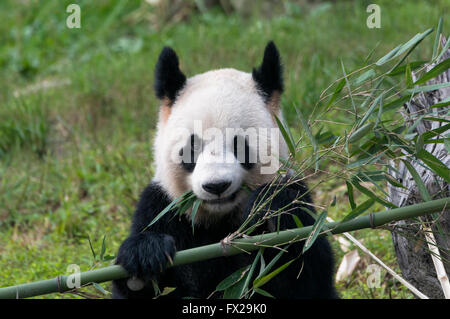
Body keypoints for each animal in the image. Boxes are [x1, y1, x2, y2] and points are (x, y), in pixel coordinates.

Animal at [112, 42, 338, 300]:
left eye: (239, 145)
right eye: (191, 148)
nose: (216, 186)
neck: (218, 220)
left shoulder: (296, 193)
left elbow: (305, 269)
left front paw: (270, 207)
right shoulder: (163, 206)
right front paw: (145, 256)